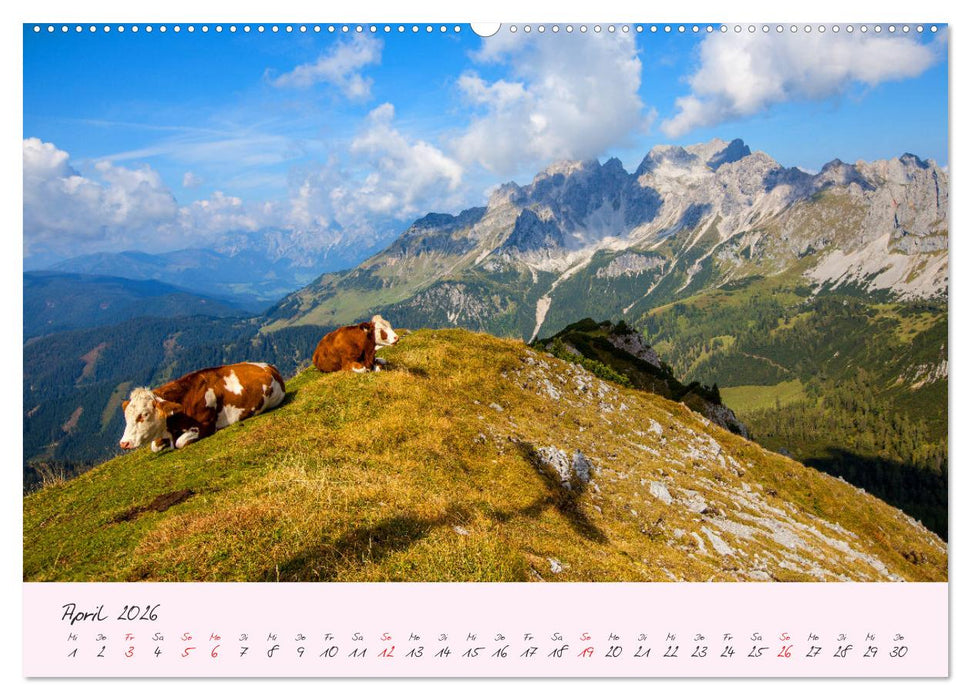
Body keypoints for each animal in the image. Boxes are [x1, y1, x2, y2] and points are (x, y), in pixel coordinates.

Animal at [119, 362, 286, 453]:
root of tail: (269, 366)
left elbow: (179, 442)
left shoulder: (205, 426)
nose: (124, 443)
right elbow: (154, 446)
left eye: (144, 414)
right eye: (126, 417)